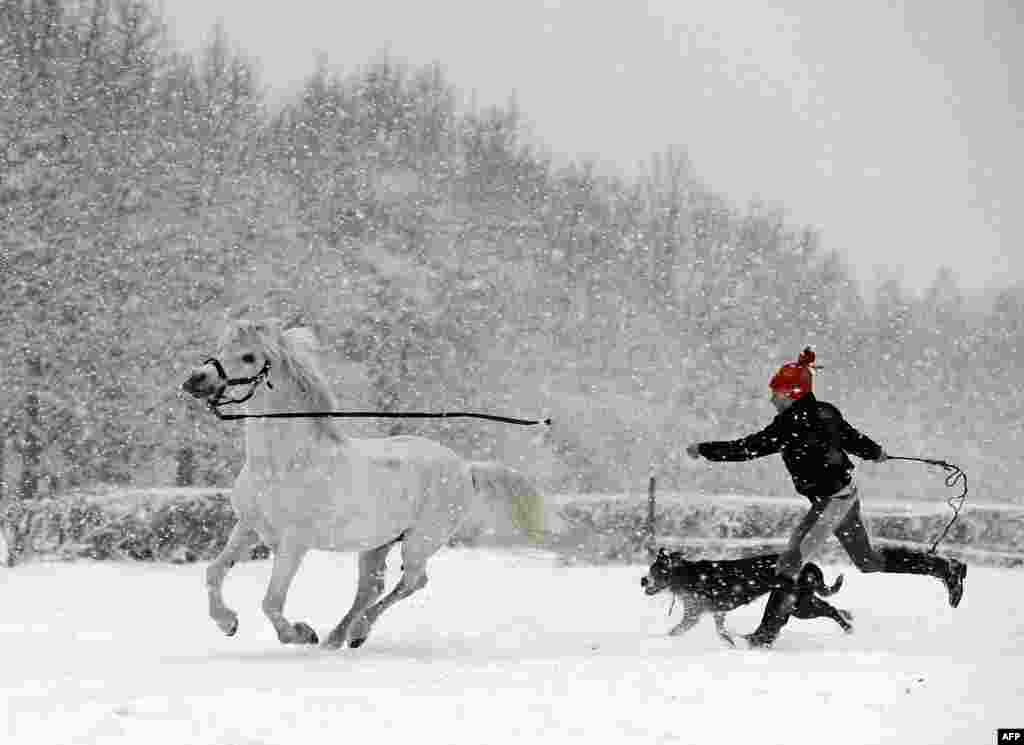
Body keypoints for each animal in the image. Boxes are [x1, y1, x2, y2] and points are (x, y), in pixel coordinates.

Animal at [180, 317, 548, 650]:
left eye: (249, 357)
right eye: (221, 348)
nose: (195, 380)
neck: (280, 465)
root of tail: (466, 468)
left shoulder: (294, 542)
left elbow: (271, 601)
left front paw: (300, 633)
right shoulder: (248, 526)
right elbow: (214, 572)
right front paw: (227, 623)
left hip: (419, 542)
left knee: (412, 582)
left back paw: (356, 632)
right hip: (376, 544)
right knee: (371, 587)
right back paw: (337, 638)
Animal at [638, 548, 856, 646]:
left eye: (656, 571)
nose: (643, 580)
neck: (686, 575)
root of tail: (807, 565)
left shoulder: (693, 614)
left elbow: (675, 631)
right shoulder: (717, 612)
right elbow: (721, 631)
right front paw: (730, 643)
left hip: (799, 606)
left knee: (830, 610)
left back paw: (848, 628)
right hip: (800, 601)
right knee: (831, 607)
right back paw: (848, 619)